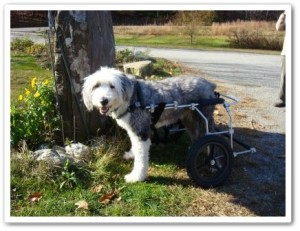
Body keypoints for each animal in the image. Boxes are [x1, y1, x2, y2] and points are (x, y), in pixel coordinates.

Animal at [82, 66, 217, 182]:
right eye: (96, 86)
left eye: (112, 86)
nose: (103, 101)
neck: (131, 98)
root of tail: (209, 84)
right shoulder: (133, 130)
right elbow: (135, 147)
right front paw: (132, 154)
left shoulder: (141, 131)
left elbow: (141, 157)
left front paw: (136, 177)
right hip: (189, 120)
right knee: (198, 136)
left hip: (203, 118)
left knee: (213, 136)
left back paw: (212, 160)